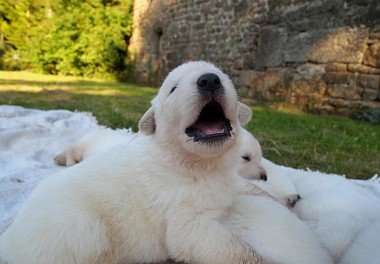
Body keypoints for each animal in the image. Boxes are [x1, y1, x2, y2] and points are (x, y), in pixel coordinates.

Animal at [0, 61, 268, 264]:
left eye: (223, 76)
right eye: (173, 88)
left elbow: (248, 187)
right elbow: (219, 244)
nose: (209, 80)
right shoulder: (180, 209)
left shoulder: (226, 177)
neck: (197, 163)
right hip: (76, 227)